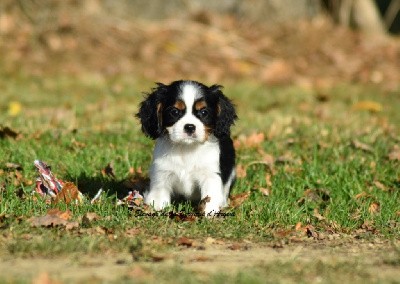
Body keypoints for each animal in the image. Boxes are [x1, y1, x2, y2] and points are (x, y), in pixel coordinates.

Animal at [138, 79, 238, 213]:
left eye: (204, 112)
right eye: (174, 112)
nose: (190, 127)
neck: (186, 148)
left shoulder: (210, 174)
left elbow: (210, 196)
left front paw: (210, 212)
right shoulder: (162, 173)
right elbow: (159, 194)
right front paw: (157, 209)